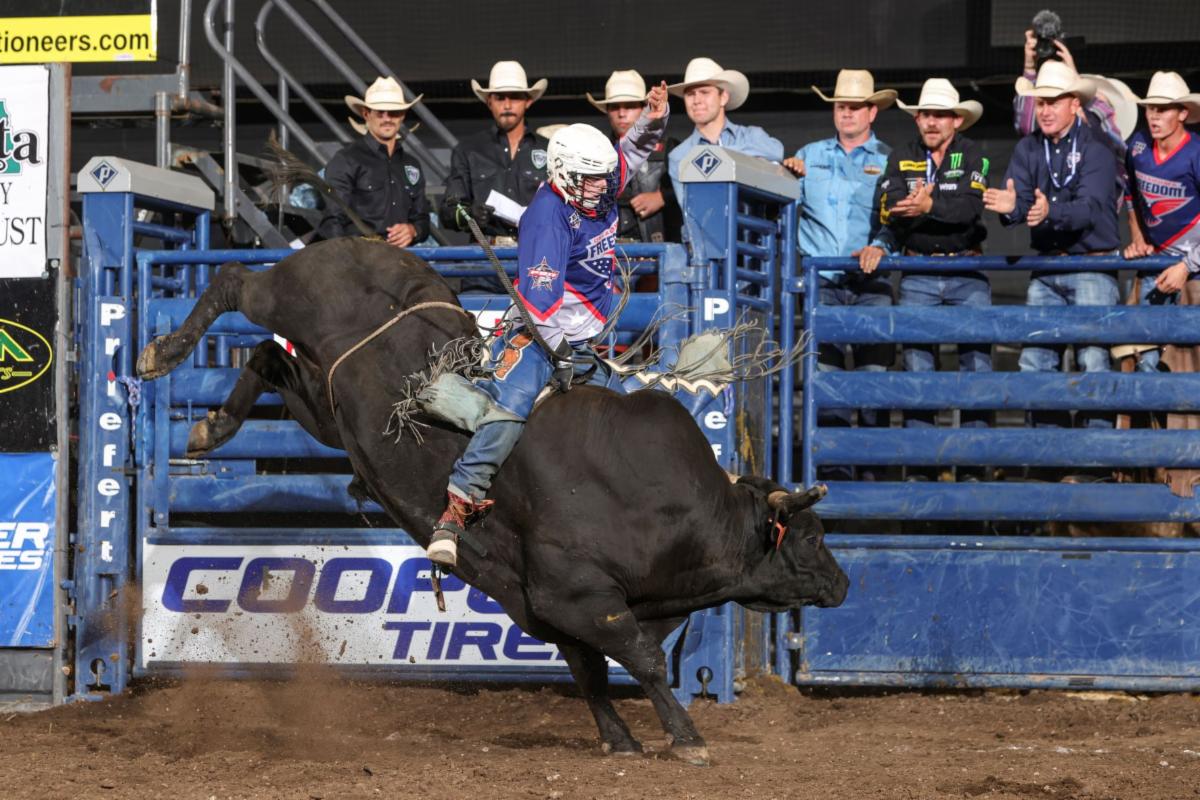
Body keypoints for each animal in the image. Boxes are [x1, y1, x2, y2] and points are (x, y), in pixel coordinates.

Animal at [136, 239, 849, 767]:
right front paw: (687, 738)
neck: (680, 513)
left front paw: (620, 740)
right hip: (287, 299)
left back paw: (210, 428)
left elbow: (590, 672)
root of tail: (364, 245)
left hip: (332, 408)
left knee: (265, 357)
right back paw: (160, 352)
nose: (842, 585)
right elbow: (642, 660)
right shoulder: (579, 595)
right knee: (236, 283)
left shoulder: (548, 610)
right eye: (812, 536)